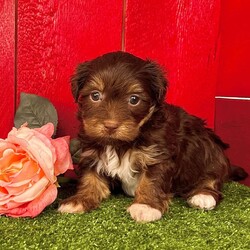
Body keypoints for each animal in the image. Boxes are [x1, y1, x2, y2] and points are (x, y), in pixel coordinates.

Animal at [58, 51, 246, 223]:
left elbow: (152, 180)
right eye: (95, 95)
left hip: (210, 150)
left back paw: (203, 195)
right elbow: (90, 178)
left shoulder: (158, 155)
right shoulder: (92, 152)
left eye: (134, 99)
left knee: (213, 176)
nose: (110, 126)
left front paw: (146, 206)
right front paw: (79, 200)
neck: (119, 143)